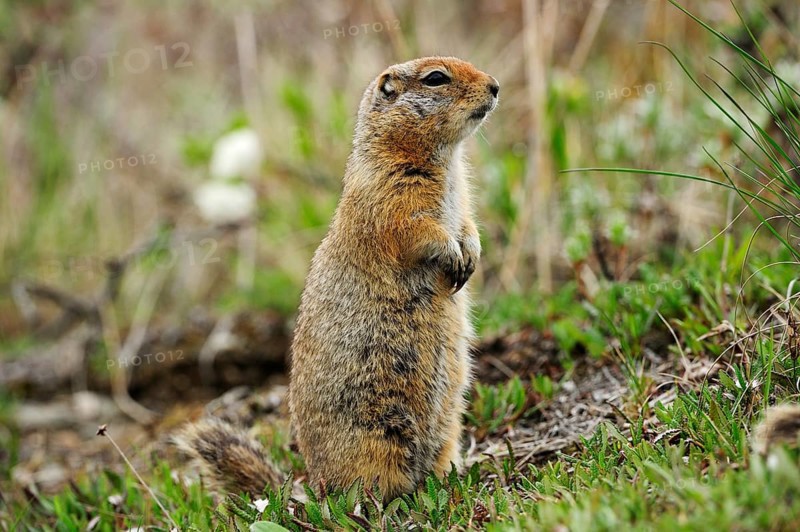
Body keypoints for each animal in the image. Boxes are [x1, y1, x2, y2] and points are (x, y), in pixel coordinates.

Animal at [176, 56, 499, 500]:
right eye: (436, 78)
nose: (496, 85)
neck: (442, 158)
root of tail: (310, 486)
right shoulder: (390, 194)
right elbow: (414, 230)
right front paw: (451, 253)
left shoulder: (461, 197)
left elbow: (467, 222)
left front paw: (470, 253)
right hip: (372, 442)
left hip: (448, 427)